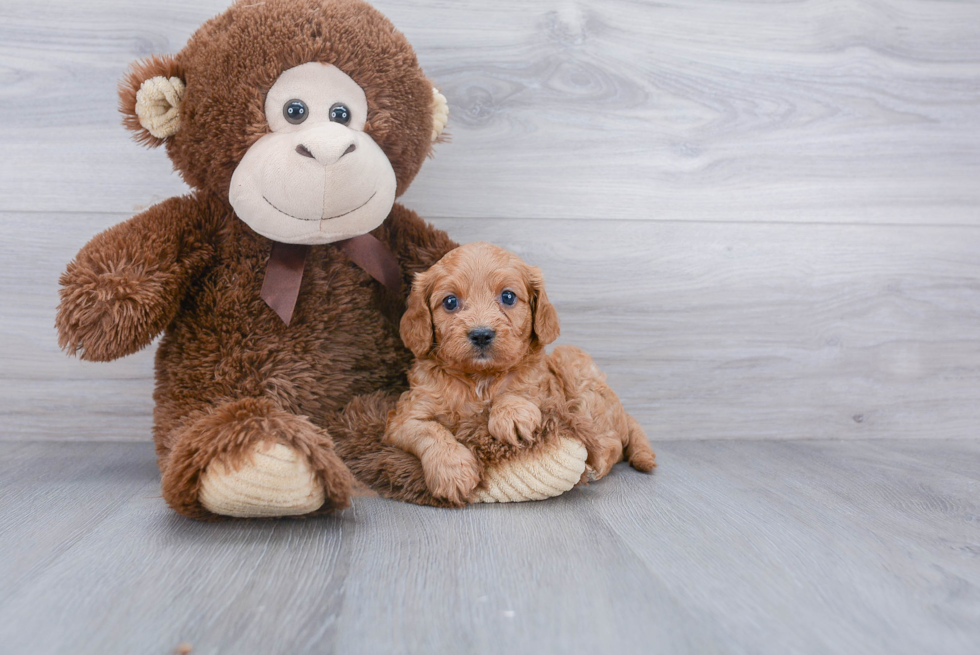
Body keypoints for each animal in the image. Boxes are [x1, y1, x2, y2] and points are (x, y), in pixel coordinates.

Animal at [386, 243, 656, 504]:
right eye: (450, 302)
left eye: (508, 296)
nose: (481, 334)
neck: (480, 377)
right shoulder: (404, 417)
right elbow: (429, 431)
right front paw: (451, 471)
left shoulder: (548, 392)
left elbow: (521, 388)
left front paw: (511, 415)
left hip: (572, 361)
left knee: (611, 443)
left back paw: (593, 467)